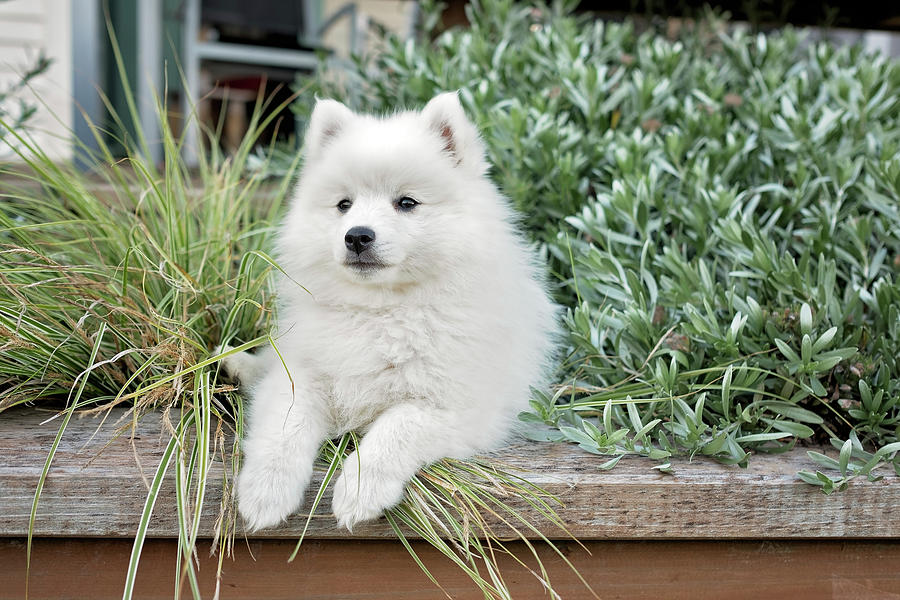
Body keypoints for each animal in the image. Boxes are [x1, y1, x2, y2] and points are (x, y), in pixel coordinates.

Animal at [225, 91, 560, 532]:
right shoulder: (302, 374)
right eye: (344, 205)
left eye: (407, 203)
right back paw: (235, 365)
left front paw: (359, 489)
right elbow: (285, 424)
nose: (357, 236)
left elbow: (395, 428)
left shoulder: (455, 405)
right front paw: (266, 489)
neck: (382, 310)